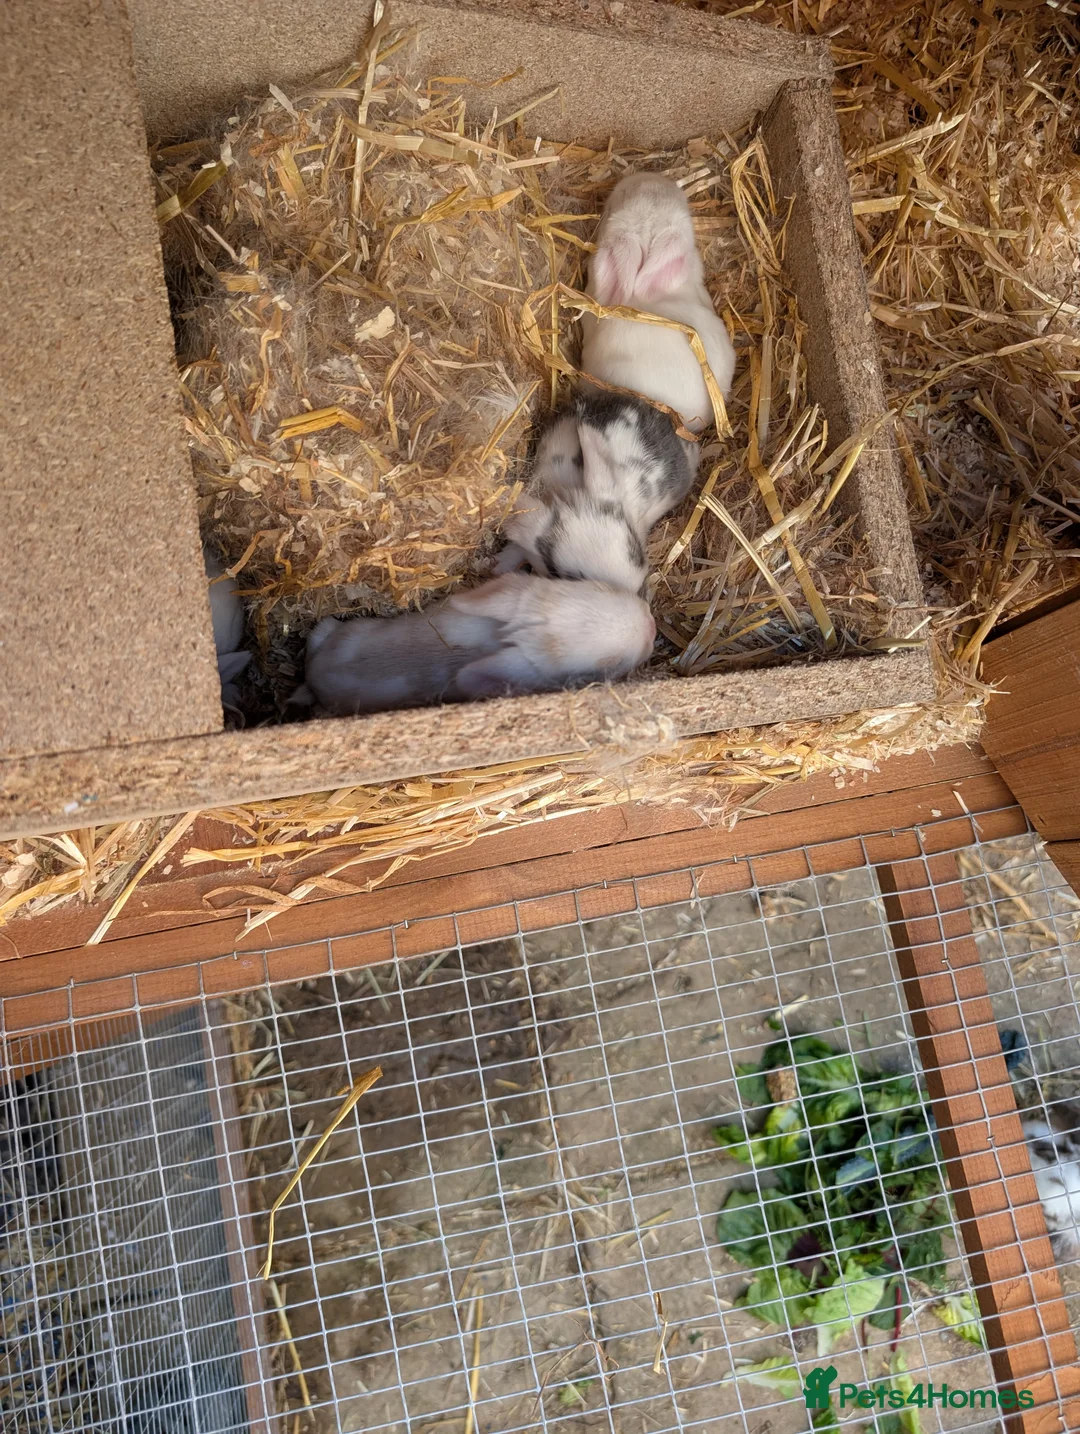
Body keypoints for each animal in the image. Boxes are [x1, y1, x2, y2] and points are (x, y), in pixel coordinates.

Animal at [295, 572, 656, 715]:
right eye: (609, 663)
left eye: (599, 588)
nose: (652, 627)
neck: (503, 637)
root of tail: (313, 676)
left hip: (328, 628)